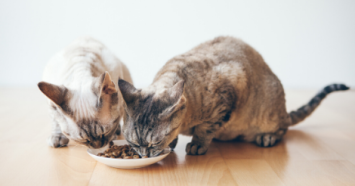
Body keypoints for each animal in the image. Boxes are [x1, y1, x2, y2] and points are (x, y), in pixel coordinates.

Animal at [117, 36, 350, 155]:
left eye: (154, 144)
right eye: (133, 144)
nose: (144, 155)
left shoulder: (230, 88)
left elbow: (205, 129)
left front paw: (196, 145)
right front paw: (173, 144)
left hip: (269, 114)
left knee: (283, 127)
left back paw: (267, 137)